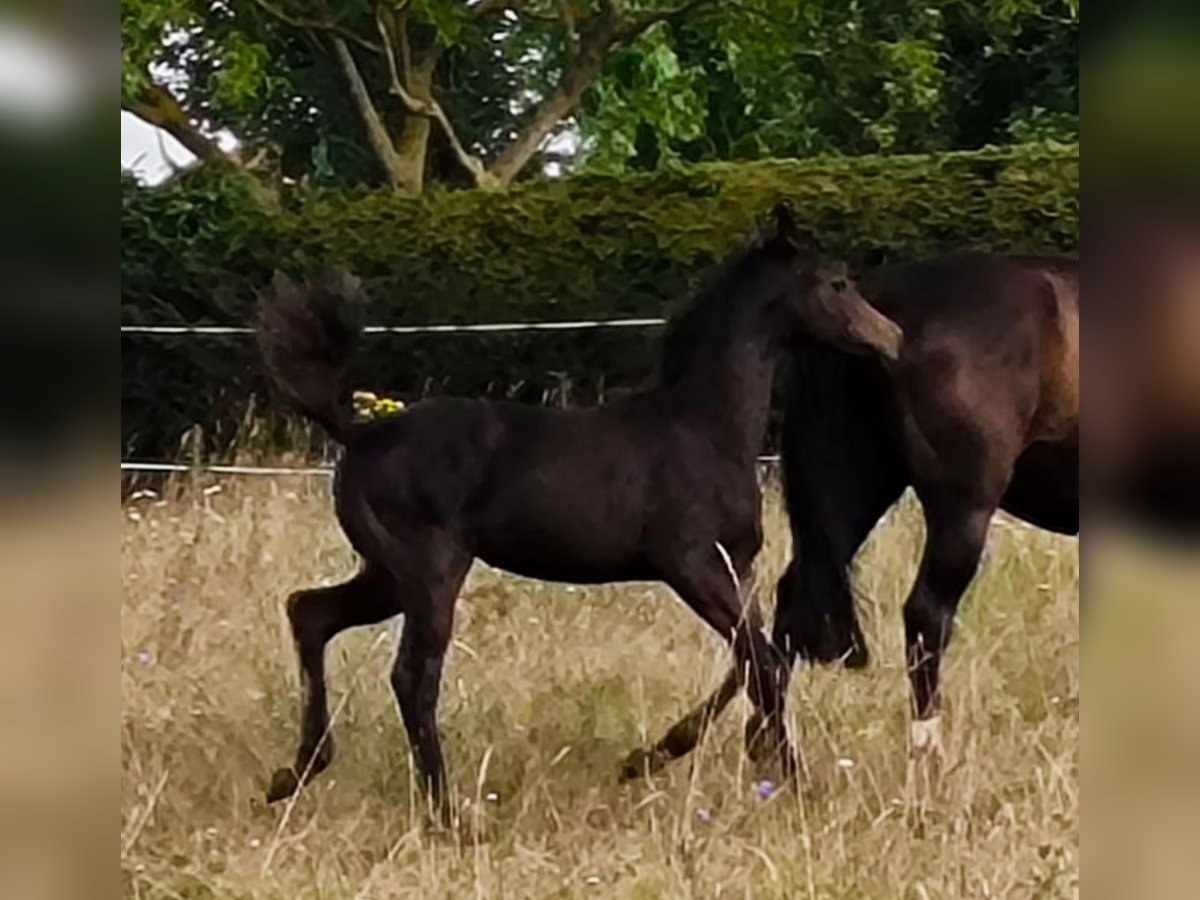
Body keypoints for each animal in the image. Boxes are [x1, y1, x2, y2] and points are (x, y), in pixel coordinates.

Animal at [255, 204, 904, 818]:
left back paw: (295, 772)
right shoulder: (688, 563)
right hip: (430, 569)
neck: (703, 425)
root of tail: (360, 433)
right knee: (412, 677)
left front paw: (658, 757)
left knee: (310, 612)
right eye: (837, 283)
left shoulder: (736, 567)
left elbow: (753, 660)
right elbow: (763, 663)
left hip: (388, 574)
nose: (892, 338)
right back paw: (446, 813)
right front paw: (792, 778)